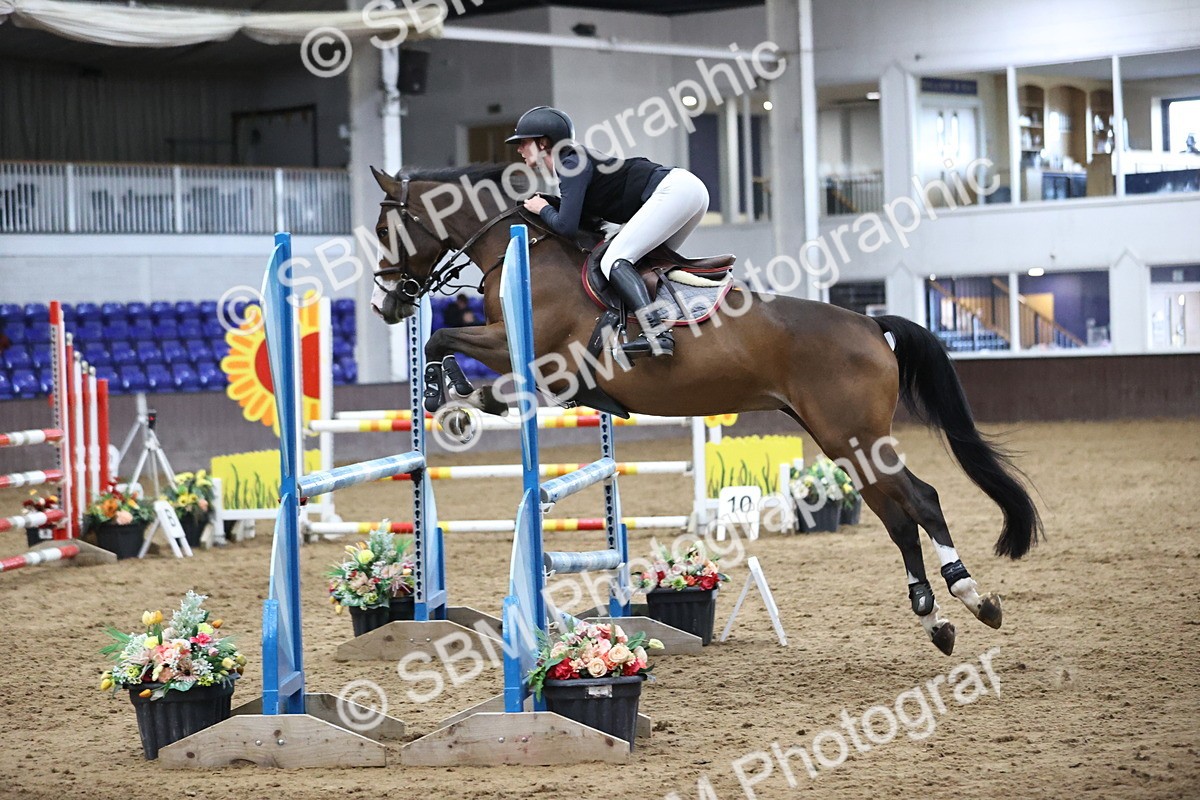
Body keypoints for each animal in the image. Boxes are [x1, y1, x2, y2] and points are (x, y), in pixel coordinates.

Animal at [367, 163, 1041, 656]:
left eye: (383, 231)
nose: (385, 306)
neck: (527, 250)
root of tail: (872, 326)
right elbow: (453, 350)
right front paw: (458, 401)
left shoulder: (539, 361)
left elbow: (444, 339)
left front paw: (446, 394)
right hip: (841, 440)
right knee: (896, 517)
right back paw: (935, 620)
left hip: (853, 435)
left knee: (920, 500)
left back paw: (975, 599)